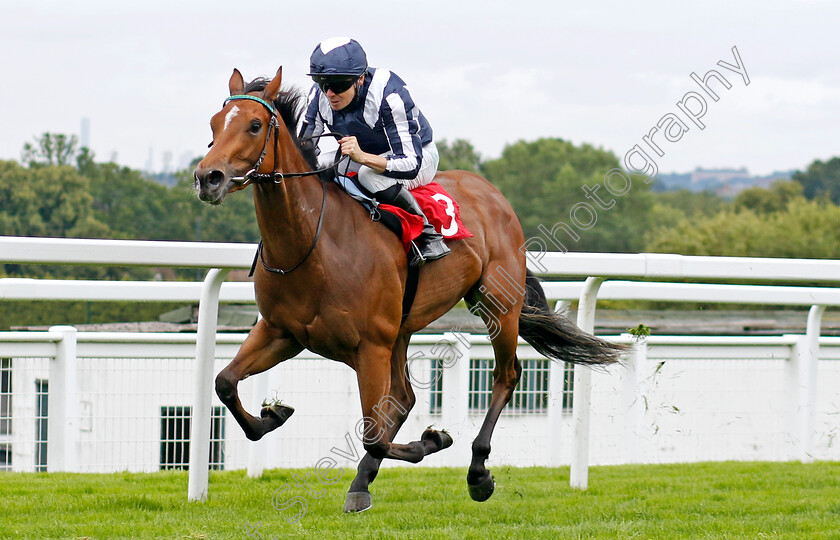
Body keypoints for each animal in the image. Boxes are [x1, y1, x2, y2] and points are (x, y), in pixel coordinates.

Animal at [192, 68, 624, 516]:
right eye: (214, 124)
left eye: (254, 125)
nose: (208, 178)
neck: (315, 243)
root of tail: (492, 192)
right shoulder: (282, 332)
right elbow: (225, 382)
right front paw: (272, 415)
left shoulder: (369, 345)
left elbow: (373, 434)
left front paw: (434, 440)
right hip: (401, 330)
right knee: (403, 398)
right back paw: (364, 480)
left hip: (496, 305)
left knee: (504, 376)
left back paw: (477, 472)